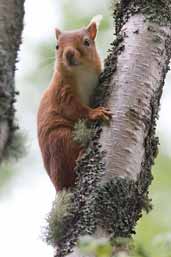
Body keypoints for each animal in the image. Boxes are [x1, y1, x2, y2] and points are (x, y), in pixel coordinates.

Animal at [37, 15, 111, 191]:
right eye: (57, 46)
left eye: (87, 42)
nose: (69, 53)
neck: (81, 72)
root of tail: (59, 185)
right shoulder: (61, 93)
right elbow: (73, 109)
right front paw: (95, 113)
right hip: (60, 138)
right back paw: (81, 154)